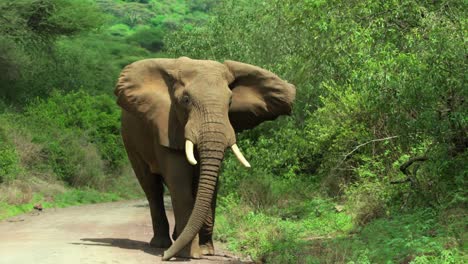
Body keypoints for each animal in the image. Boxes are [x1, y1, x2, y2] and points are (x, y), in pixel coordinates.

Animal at [114, 56, 294, 260]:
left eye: (230, 102)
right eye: (185, 100)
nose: (165, 257)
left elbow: (211, 185)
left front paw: (205, 251)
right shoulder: (167, 124)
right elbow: (179, 183)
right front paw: (188, 254)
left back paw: (175, 240)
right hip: (130, 140)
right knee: (151, 187)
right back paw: (161, 244)